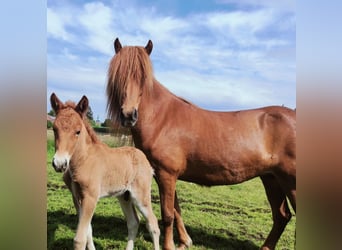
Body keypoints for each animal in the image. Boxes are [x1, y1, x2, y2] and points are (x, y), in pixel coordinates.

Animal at [49, 93, 160, 249]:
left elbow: (79, 239)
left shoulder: (90, 197)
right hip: (124, 196)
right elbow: (88, 231)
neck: (84, 160)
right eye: (54, 129)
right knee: (133, 222)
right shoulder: (77, 197)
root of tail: (144, 159)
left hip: (141, 196)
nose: (59, 164)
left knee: (153, 224)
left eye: (78, 131)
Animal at [105, 38, 296, 249]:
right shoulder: (166, 175)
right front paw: (184, 241)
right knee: (282, 216)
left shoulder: (166, 174)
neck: (162, 119)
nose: (128, 115)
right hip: (272, 178)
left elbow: (168, 214)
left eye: (143, 77)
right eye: (119, 75)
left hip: (290, 181)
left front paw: (169, 245)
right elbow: (177, 210)